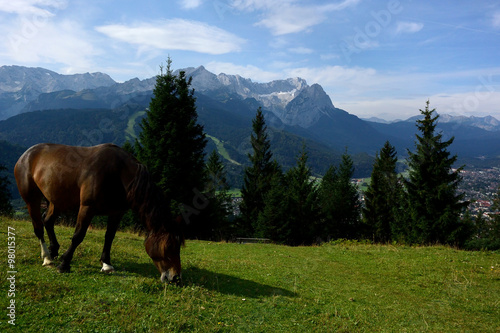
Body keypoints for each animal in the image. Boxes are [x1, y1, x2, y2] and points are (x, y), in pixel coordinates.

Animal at [14, 141, 185, 282]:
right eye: (169, 246)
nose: (175, 277)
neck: (118, 174)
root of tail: (26, 155)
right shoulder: (87, 208)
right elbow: (78, 236)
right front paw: (64, 264)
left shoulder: (117, 212)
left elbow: (109, 237)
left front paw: (107, 264)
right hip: (32, 199)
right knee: (38, 227)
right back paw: (47, 258)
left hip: (57, 200)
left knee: (48, 221)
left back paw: (53, 251)